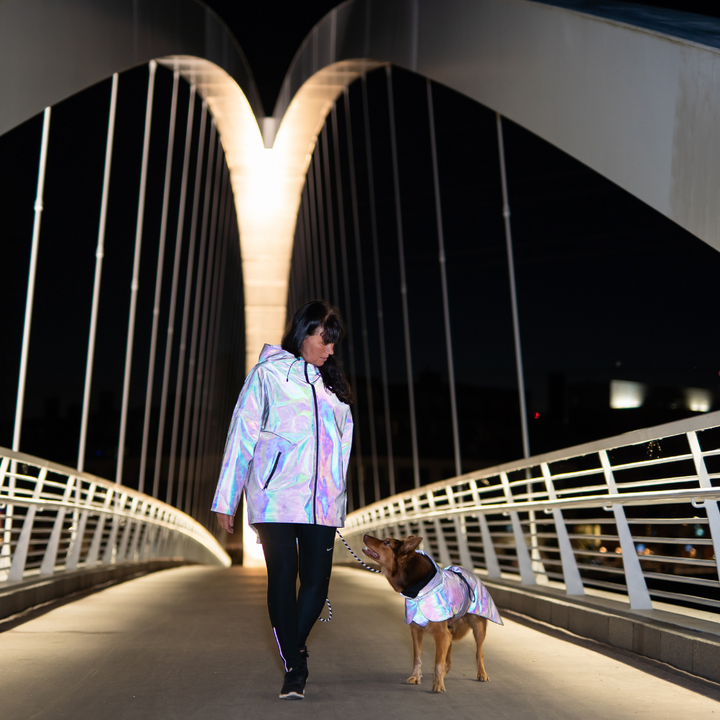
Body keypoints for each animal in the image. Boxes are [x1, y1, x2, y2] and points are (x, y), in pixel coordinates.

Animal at [362, 536, 504, 692]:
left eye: (387, 542)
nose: (365, 536)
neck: (419, 589)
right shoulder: (416, 629)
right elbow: (417, 657)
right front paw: (416, 677)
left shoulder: (440, 632)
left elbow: (437, 661)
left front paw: (438, 684)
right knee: (449, 647)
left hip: (478, 626)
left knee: (479, 652)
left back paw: (482, 673)